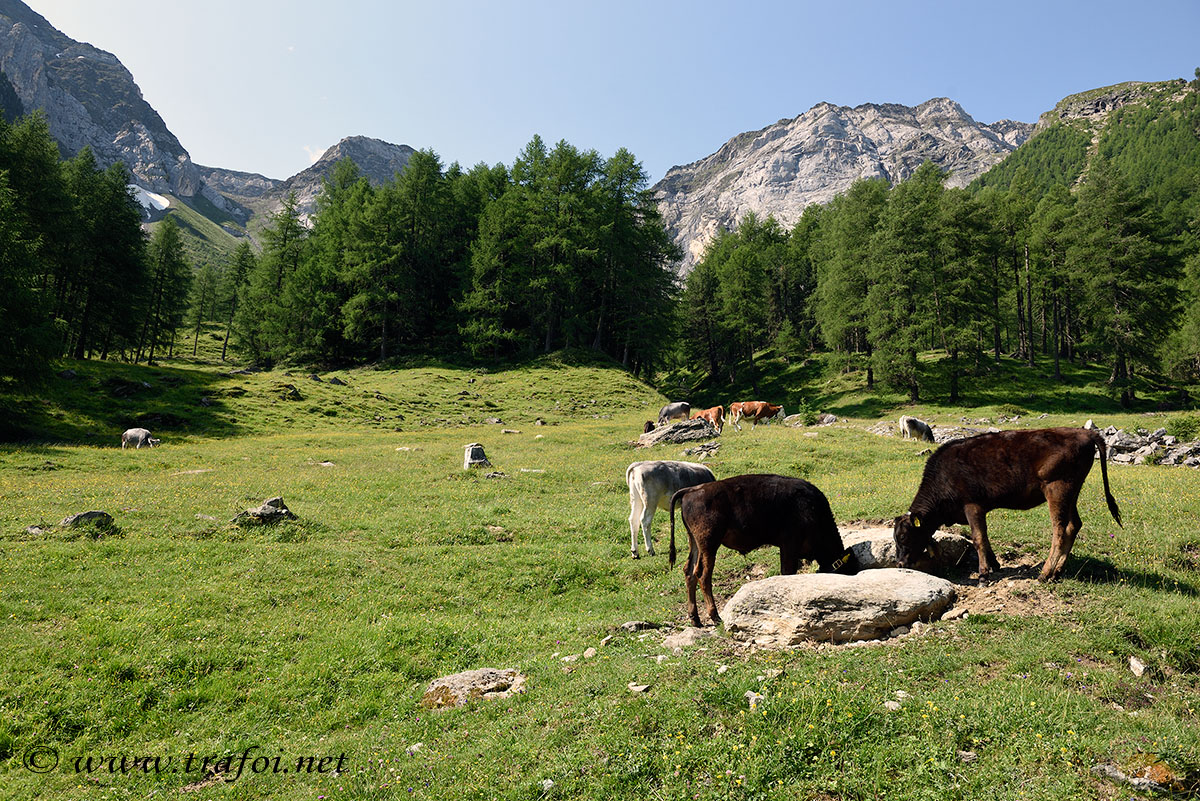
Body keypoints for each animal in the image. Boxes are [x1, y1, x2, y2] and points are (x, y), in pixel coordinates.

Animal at [672, 474, 859, 623]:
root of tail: (691, 490)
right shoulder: (789, 546)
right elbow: (788, 571)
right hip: (709, 544)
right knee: (703, 575)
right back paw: (715, 617)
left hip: (695, 543)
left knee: (689, 572)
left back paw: (695, 619)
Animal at [892, 429, 1123, 577]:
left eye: (904, 536)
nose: (900, 563)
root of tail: (1084, 432)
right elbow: (985, 538)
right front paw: (995, 565)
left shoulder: (972, 506)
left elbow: (978, 539)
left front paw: (983, 575)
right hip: (1072, 493)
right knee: (1074, 525)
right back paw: (1057, 571)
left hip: (1057, 488)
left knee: (1060, 530)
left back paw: (1045, 573)